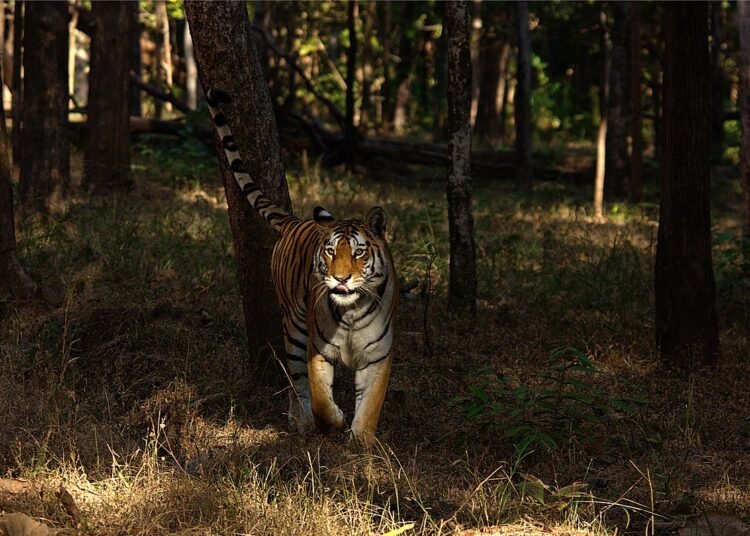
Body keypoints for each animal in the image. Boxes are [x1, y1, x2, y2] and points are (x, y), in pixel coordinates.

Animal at [205, 88, 397, 446]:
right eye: (332, 252)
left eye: (359, 252)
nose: (340, 278)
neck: (351, 312)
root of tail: (294, 221)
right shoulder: (317, 349)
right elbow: (320, 395)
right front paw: (333, 422)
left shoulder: (377, 355)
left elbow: (370, 404)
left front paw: (362, 442)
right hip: (293, 326)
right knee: (296, 381)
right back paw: (302, 421)